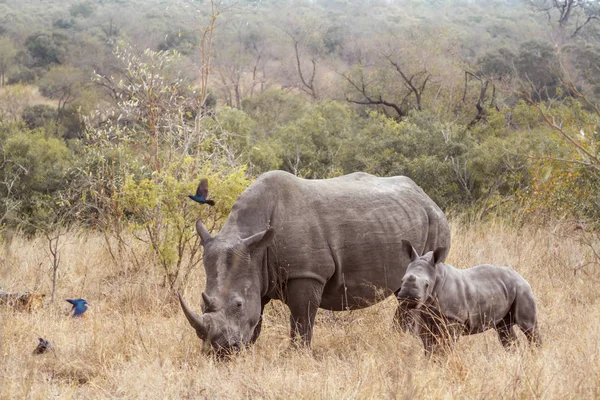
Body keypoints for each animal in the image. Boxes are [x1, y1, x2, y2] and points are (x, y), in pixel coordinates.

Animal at [178, 170, 450, 354]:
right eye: (202, 303)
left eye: (237, 305)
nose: (219, 352)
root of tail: (426, 196)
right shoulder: (256, 271)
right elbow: (258, 318)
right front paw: (248, 351)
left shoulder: (307, 273)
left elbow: (301, 318)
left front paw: (296, 356)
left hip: (436, 222)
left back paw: (399, 339)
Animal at [396, 239, 540, 354]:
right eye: (401, 280)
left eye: (426, 285)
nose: (408, 297)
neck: (437, 276)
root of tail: (520, 275)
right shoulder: (423, 316)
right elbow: (428, 346)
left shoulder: (454, 318)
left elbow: (445, 345)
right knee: (504, 328)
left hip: (522, 289)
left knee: (529, 327)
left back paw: (535, 356)